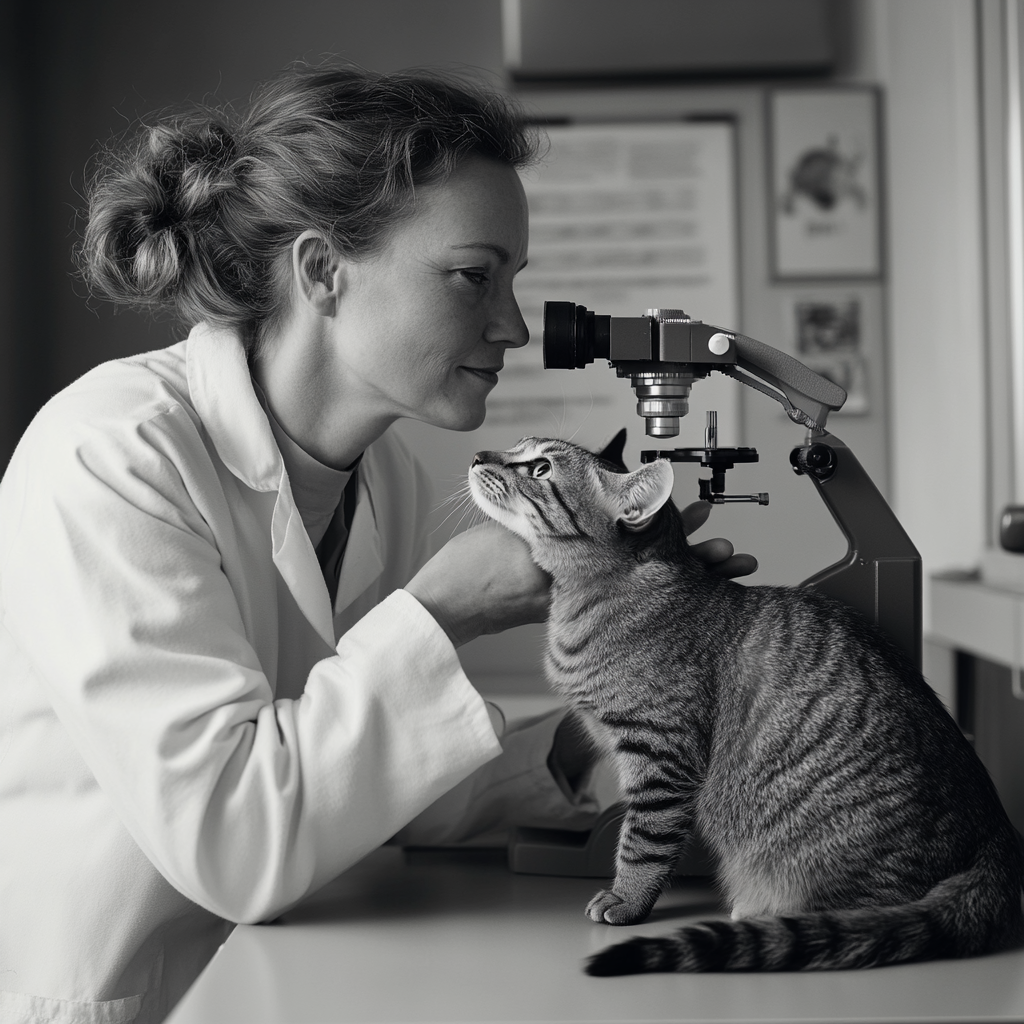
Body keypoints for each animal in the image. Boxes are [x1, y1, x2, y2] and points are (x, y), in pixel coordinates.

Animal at [468, 432, 1019, 974]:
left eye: (540, 469)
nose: (477, 455)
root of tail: (997, 836)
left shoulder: (661, 754)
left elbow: (643, 841)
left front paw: (627, 898)